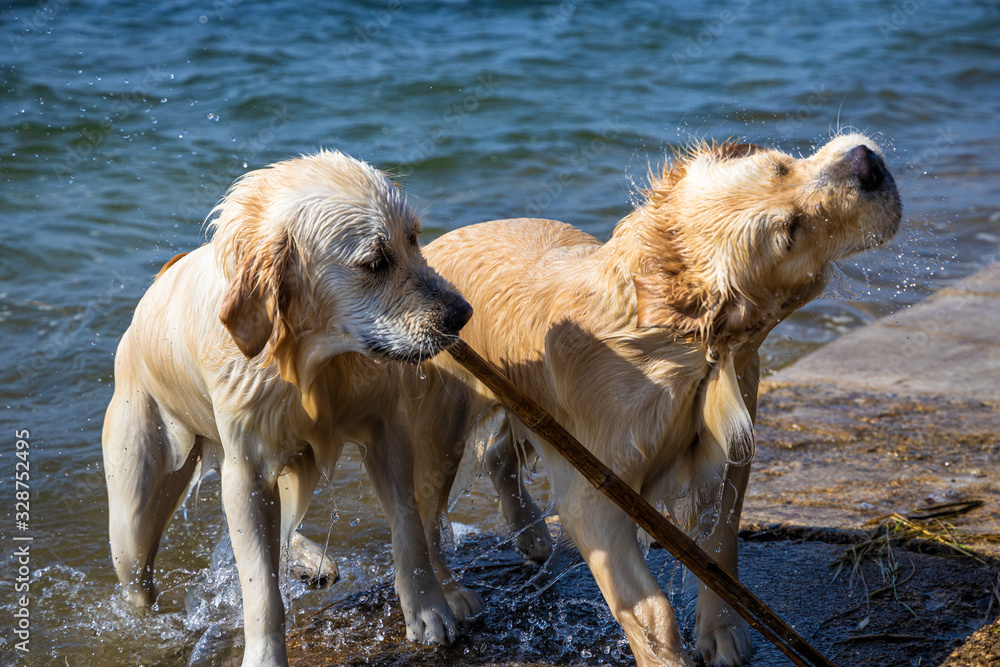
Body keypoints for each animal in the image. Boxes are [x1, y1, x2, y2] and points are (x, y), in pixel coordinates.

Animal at [101, 151, 472, 667]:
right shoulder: (247, 469)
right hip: (133, 510)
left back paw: (309, 560)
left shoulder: (386, 432)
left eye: (414, 239)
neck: (311, 361)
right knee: (139, 579)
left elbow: (409, 527)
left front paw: (428, 610)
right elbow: (261, 589)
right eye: (375, 262)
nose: (462, 315)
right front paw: (265, 656)